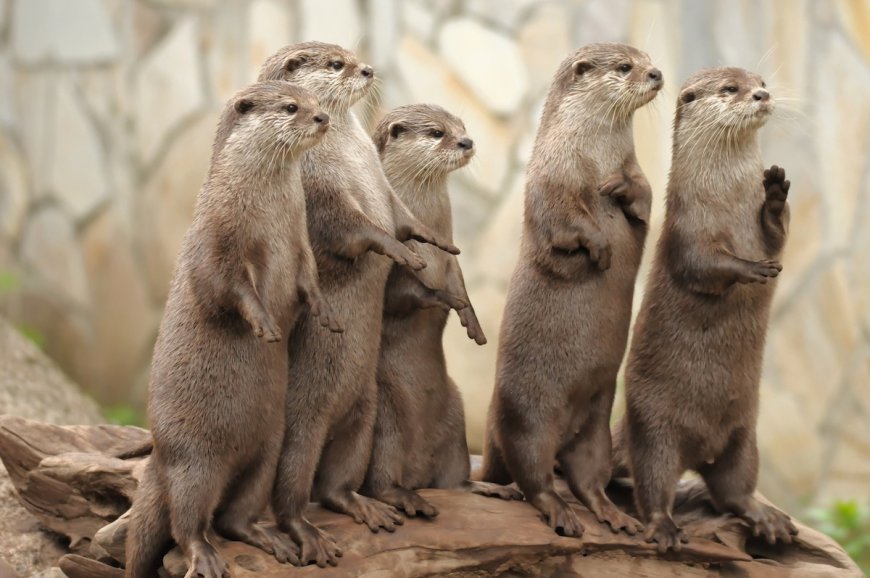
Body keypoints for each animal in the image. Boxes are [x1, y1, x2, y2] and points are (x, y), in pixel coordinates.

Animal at [125, 81, 339, 578]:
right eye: (291, 107)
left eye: (315, 102)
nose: (323, 118)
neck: (269, 216)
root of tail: (158, 456)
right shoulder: (216, 237)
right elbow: (223, 286)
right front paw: (263, 323)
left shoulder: (300, 243)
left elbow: (308, 278)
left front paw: (323, 309)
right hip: (194, 461)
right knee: (188, 521)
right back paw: (205, 556)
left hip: (267, 448)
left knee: (234, 515)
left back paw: (271, 538)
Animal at [258, 43, 460, 567]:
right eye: (336, 64)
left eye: (351, 55)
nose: (368, 69)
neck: (347, 155)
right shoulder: (316, 186)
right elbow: (352, 227)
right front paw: (396, 251)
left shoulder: (382, 187)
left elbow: (403, 218)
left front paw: (426, 239)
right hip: (302, 425)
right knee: (291, 492)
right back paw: (307, 535)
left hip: (366, 413)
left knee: (336, 485)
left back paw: (364, 505)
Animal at [361, 104, 523, 517]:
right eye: (437, 133)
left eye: (462, 126)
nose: (467, 141)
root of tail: (416, 473)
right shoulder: (393, 268)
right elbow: (409, 296)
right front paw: (445, 300)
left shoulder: (452, 257)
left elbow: (461, 281)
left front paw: (473, 321)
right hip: (384, 422)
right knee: (379, 481)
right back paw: (407, 500)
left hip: (456, 420)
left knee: (454, 481)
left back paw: (487, 488)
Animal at [478, 43, 663, 538]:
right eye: (625, 66)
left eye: (646, 57)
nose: (657, 73)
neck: (593, 158)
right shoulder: (550, 180)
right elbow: (566, 221)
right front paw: (600, 247)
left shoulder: (636, 169)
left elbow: (645, 195)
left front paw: (622, 190)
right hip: (525, 414)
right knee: (533, 476)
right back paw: (557, 513)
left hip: (596, 423)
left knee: (587, 477)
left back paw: (615, 515)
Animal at [613, 67, 797, 552]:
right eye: (730, 89)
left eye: (759, 79)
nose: (761, 94)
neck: (728, 203)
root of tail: (703, 447)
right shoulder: (685, 227)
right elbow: (703, 264)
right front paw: (750, 268)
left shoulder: (763, 231)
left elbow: (778, 234)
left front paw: (775, 191)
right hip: (653, 426)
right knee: (653, 482)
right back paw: (663, 528)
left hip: (745, 434)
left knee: (734, 490)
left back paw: (766, 518)